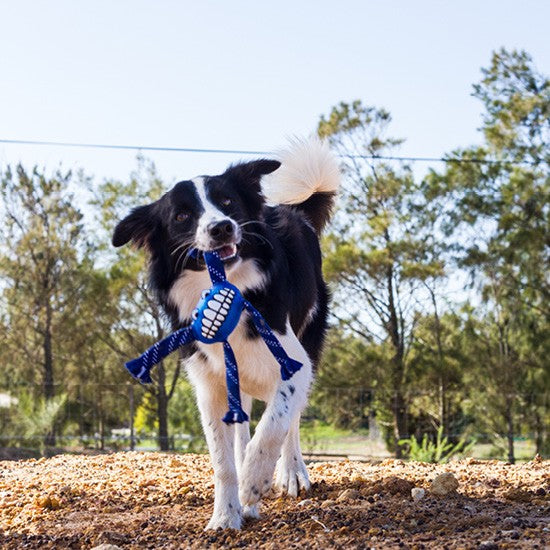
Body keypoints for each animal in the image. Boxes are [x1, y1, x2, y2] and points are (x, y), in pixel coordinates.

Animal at [113, 138, 340, 532]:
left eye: (228, 202)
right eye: (181, 217)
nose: (221, 227)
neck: (230, 287)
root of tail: (293, 212)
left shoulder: (293, 364)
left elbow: (275, 423)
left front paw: (254, 480)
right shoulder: (209, 384)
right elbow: (223, 460)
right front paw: (225, 515)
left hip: (308, 338)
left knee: (291, 422)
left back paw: (291, 471)